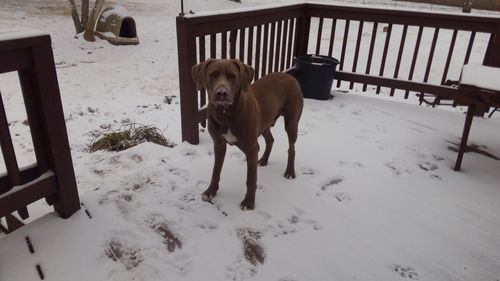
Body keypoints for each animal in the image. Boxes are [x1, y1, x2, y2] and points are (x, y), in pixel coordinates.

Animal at [191, 58, 302, 208]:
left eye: (232, 76)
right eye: (212, 75)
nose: (221, 93)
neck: (226, 114)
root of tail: (290, 76)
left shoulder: (251, 149)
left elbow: (251, 179)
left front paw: (249, 202)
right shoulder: (219, 144)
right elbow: (216, 171)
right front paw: (211, 191)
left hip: (291, 123)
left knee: (291, 148)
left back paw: (290, 171)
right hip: (264, 123)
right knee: (270, 140)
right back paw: (264, 160)